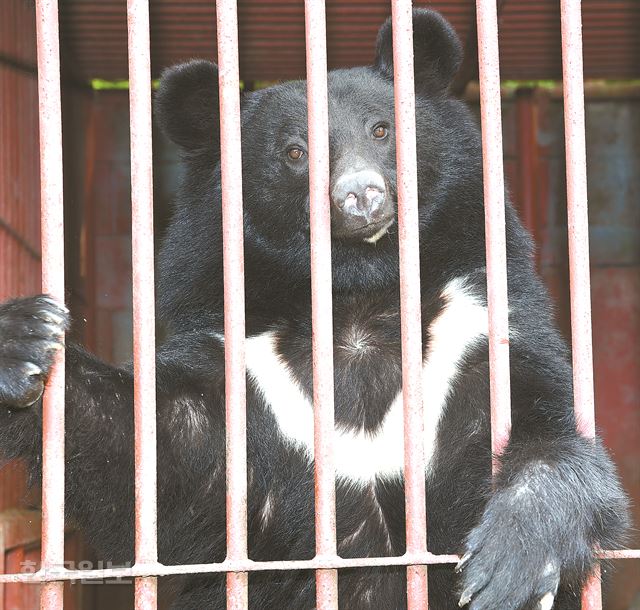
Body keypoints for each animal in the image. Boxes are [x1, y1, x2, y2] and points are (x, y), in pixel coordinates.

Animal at [0, 8, 632, 608]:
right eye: (295, 152)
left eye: (381, 129)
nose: (361, 196)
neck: (356, 295)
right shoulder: (241, 377)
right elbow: (146, 452)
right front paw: (26, 339)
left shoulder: (476, 329)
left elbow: (547, 430)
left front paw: (511, 566)